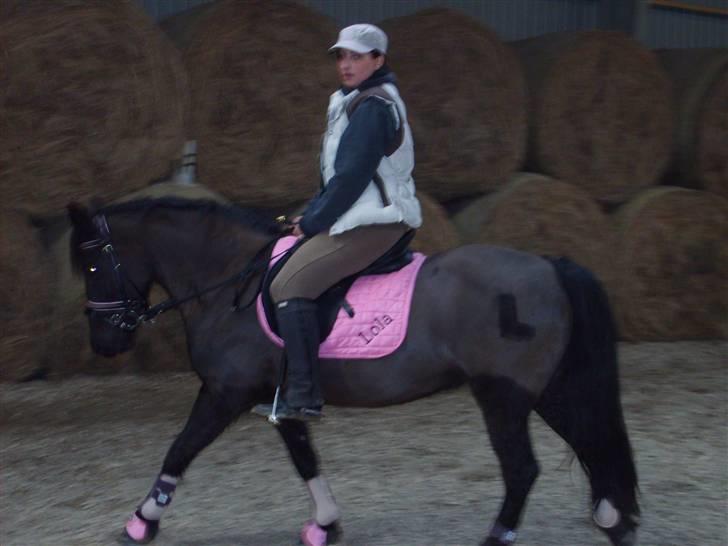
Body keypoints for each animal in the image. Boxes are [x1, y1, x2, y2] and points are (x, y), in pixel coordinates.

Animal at [67, 188, 639, 546]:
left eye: (92, 264)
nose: (104, 343)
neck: (229, 282)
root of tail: (550, 265)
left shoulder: (225, 392)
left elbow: (180, 450)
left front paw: (141, 522)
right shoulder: (279, 399)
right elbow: (305, 460)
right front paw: (324, 525)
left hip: (505, 396)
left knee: (524, 468)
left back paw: (501, 537)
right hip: (547, 391)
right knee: (594, 446)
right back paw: (615, 520)